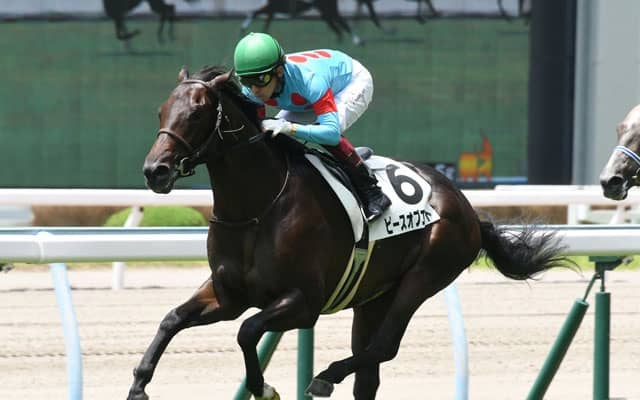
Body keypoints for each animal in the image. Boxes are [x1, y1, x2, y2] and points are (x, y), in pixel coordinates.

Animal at [129, 65, 571, 400]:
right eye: (160, 111)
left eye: (198, 112)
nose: (155, 171)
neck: (256, 209)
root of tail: (468, 209)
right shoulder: (229, 295)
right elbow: (171, 319)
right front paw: (138, 384)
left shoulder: (304, 302)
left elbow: (247, 330)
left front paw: (264, 388)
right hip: (373, 298)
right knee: (369, 375)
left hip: (425, 274)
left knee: (383, 346)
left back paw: (327, 375)